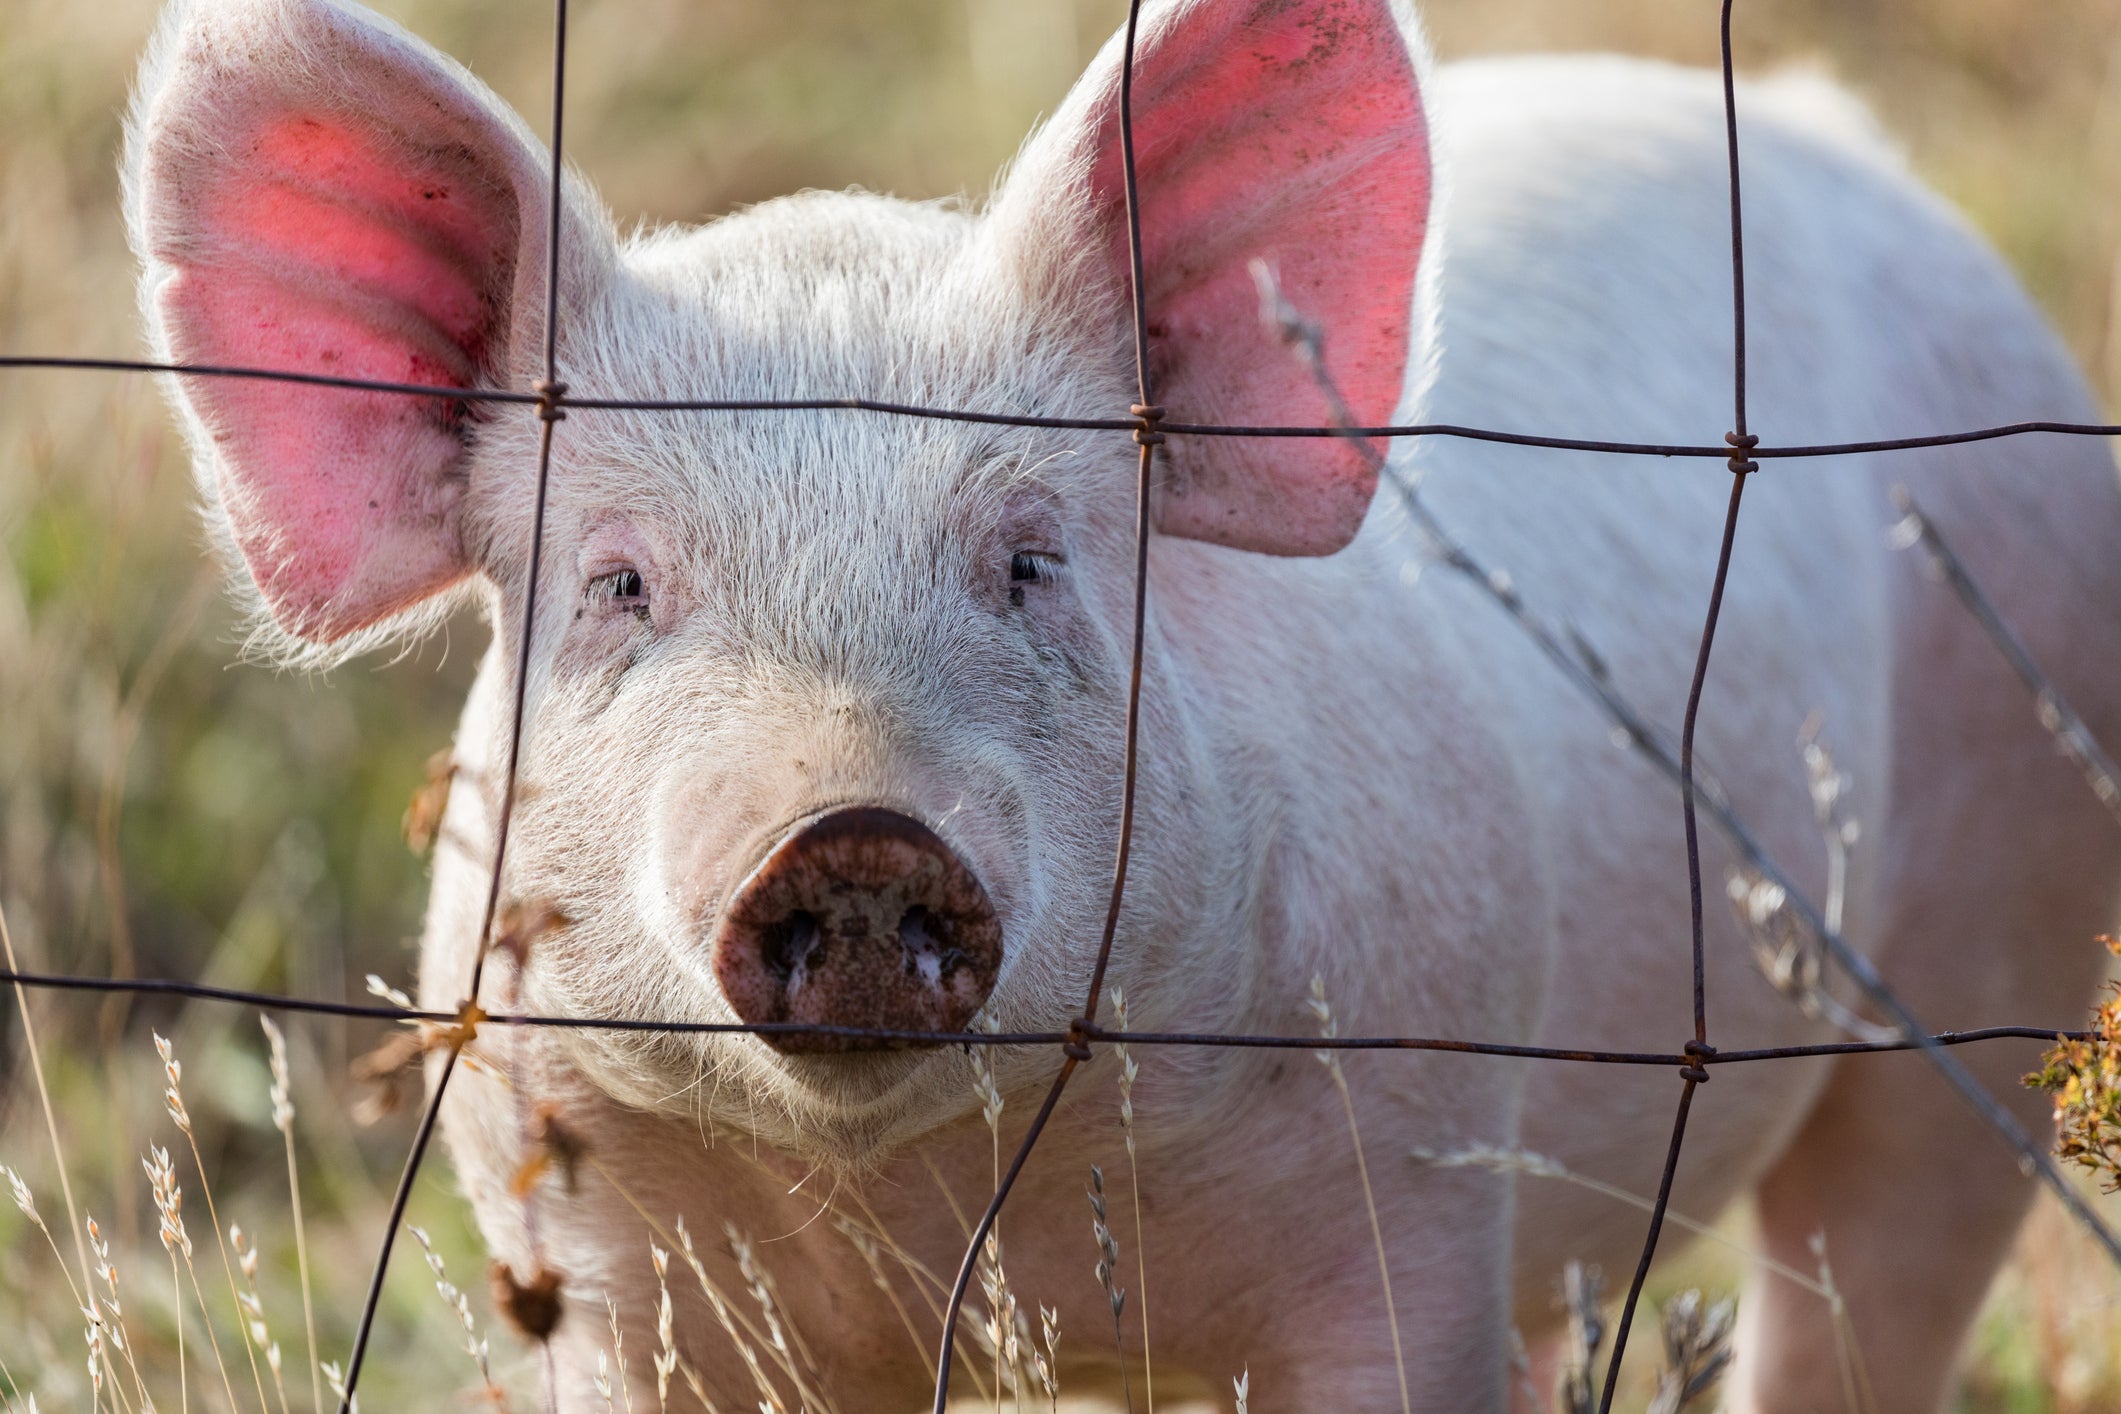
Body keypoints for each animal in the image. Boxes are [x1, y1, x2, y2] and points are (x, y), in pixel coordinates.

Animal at [124, 0, 2121, 1407]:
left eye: (1029, 560)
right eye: (619, 584)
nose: (852, 831)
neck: (939, 1217)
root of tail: (1824, 133)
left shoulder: (1409, 1195)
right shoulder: (595, 1264)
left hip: (1995, 939)